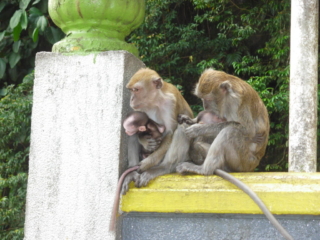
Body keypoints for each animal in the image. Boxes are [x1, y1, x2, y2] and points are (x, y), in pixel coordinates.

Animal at [122, 66, 192, 194]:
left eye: (136, 90)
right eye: (131, 90)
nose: (131, 99)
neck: (155, 100)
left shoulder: (170, 102)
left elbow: (170, 132)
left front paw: (147, 164)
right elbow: (140, 126)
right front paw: (145, 141)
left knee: (182, 127)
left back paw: (162, 167)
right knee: (132, 133)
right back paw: (132, 172)